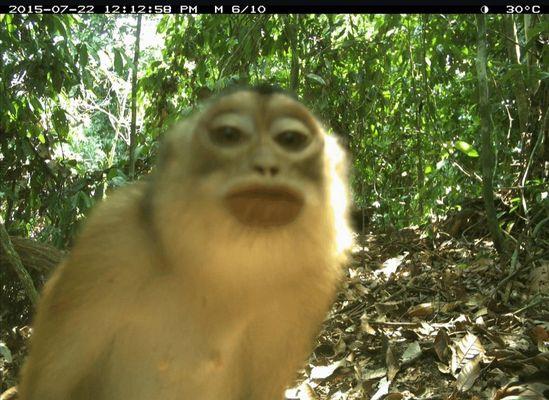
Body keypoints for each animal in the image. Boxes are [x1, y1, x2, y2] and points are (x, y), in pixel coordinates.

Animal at [18, 85, 356, 400]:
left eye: (290, 140)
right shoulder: (111, 239)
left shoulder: (309, 283)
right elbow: (48, 388)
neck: (223, 274)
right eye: (229, 134)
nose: (266, 166)